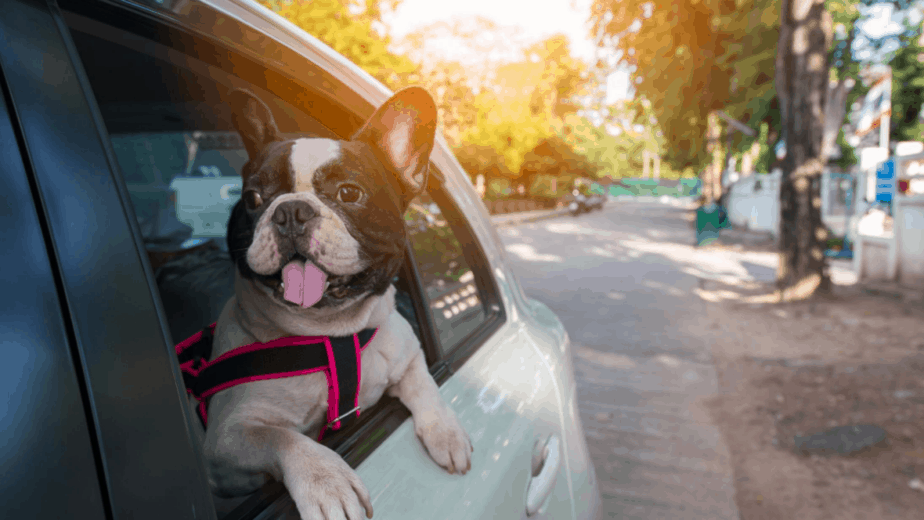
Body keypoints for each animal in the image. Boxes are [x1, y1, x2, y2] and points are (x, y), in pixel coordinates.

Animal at [205, 88, 472, 520]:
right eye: (253, 198)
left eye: (349, 193)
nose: (290, 210)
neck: (331, 334)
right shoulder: (227, 442)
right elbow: (280, 437)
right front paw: (325, 479)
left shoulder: (409, 356)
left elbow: (426, 387)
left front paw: (447, 433)